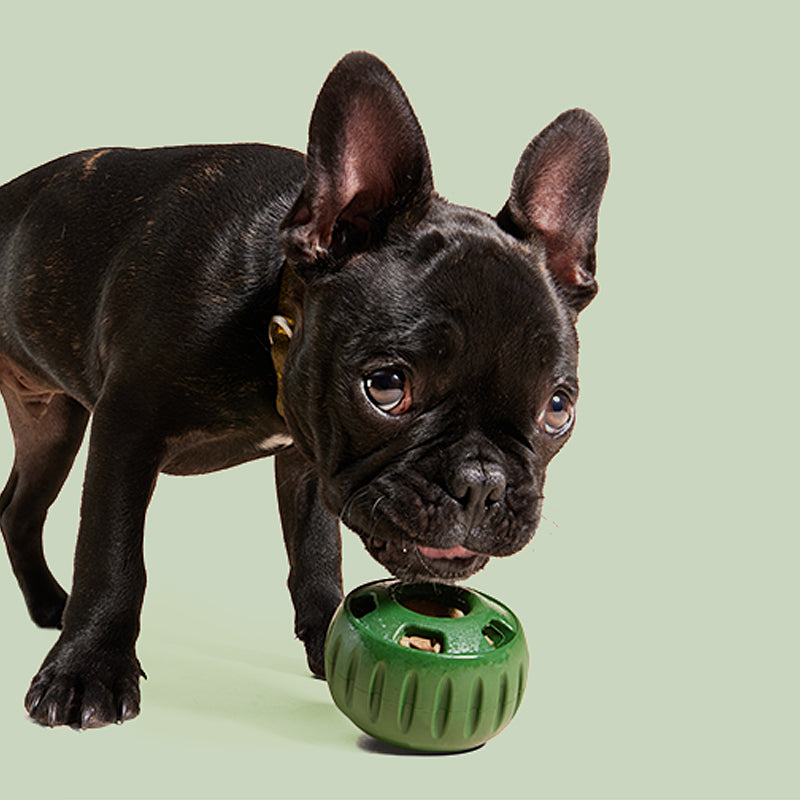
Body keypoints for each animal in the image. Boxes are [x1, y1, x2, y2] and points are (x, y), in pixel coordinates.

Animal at [0, 48, 608, 724]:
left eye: (557, 409)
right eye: (387, 386)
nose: (484, 484)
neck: (273, 306)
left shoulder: (308, 458)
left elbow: (317, 552)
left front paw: (327, 636)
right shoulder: (126, 428)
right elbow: (111, 553)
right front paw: (88, 670)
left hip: (51, 424)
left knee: (18, 509)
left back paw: (47, 604)